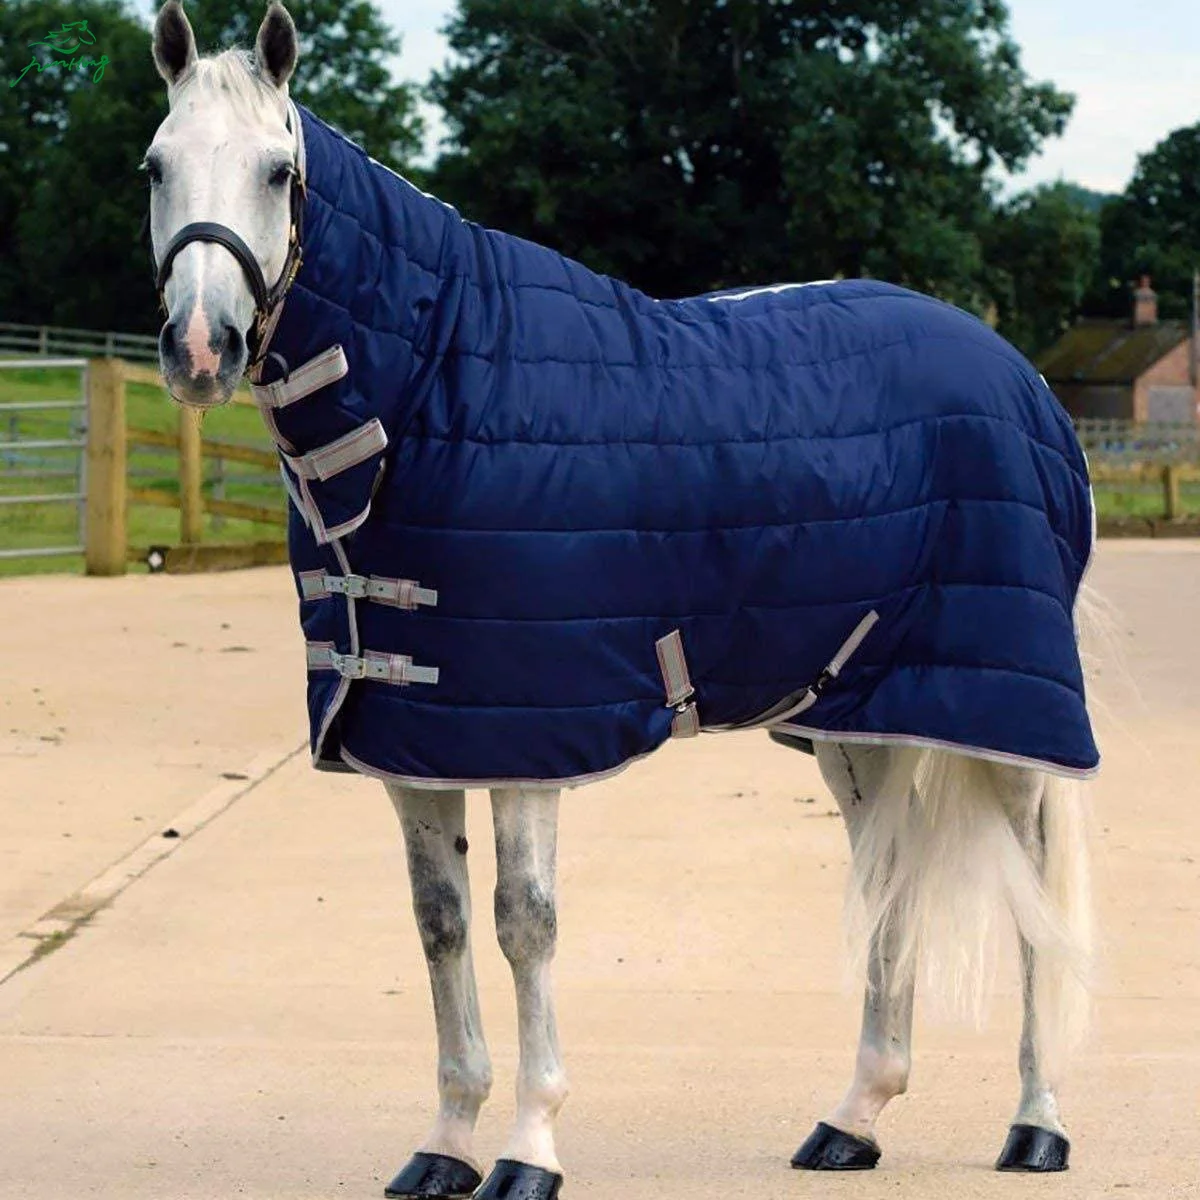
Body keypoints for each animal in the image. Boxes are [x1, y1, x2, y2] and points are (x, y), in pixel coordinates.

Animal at [145, 4, 1098, 1195]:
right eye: (156, 166)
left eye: (277, 172)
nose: (199, 348)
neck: (432, 392)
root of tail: (1022, 380)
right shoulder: (415, 738)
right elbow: (439, 923)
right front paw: (445, 1143)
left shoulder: (525, 736)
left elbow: (525, 923)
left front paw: (529, 1149)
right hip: (861, 716)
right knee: (886, 879)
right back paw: (854, 1118)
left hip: (1010, 713)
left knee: (1038, 893)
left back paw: (1038, 1123)